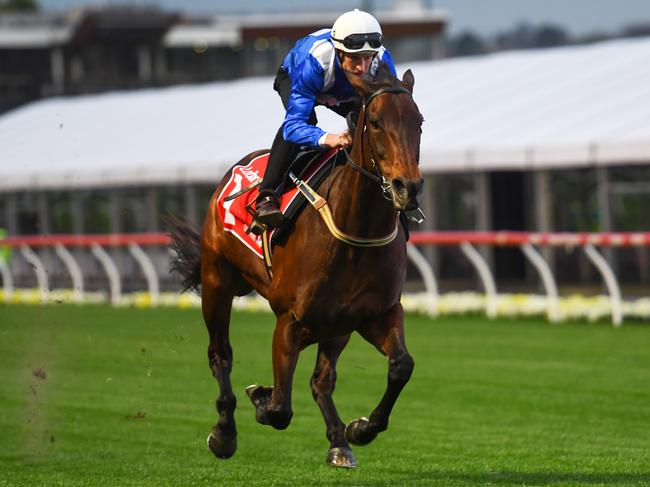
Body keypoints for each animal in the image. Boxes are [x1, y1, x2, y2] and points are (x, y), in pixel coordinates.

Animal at [170, 66, 422, 468]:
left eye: (419, 122)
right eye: (376, 122)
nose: (407, 187)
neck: (355, 231)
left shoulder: (376, 313)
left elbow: (401, 366)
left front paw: (359, 428)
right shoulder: (290, 320)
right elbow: (279, 409)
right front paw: (260, 398)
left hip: (336, 325)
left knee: (321, 379)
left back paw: (339, 441)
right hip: (216, 282)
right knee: (220, 354)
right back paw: (224, 431)